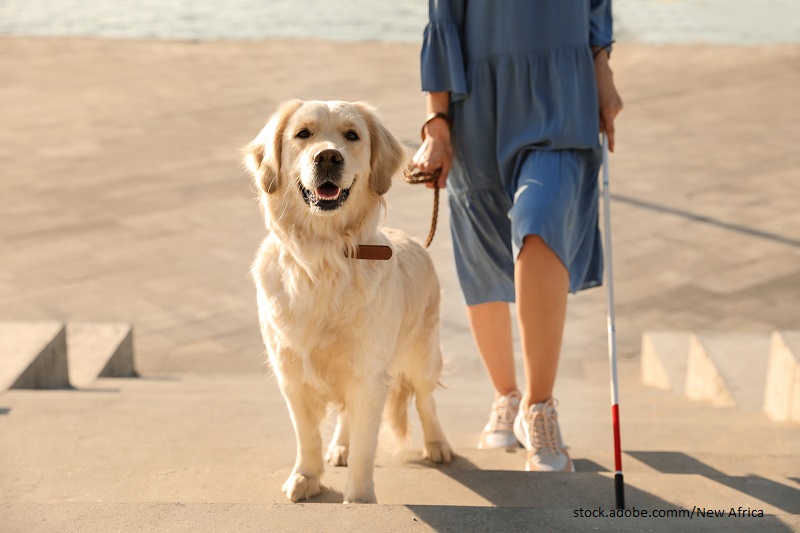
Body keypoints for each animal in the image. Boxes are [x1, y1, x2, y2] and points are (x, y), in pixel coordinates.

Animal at [244, 100, 454, 502]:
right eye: (303, 134)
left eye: (352, 135)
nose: (328, 156)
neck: (323, 256)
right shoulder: (292, 375)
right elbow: (307, 436)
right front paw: (306, 477)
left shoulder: (369, 376)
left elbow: (365, 447)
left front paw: (359, 499)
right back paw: (339, 446)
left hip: (422, 351)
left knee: (426, 399)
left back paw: (437, 444)